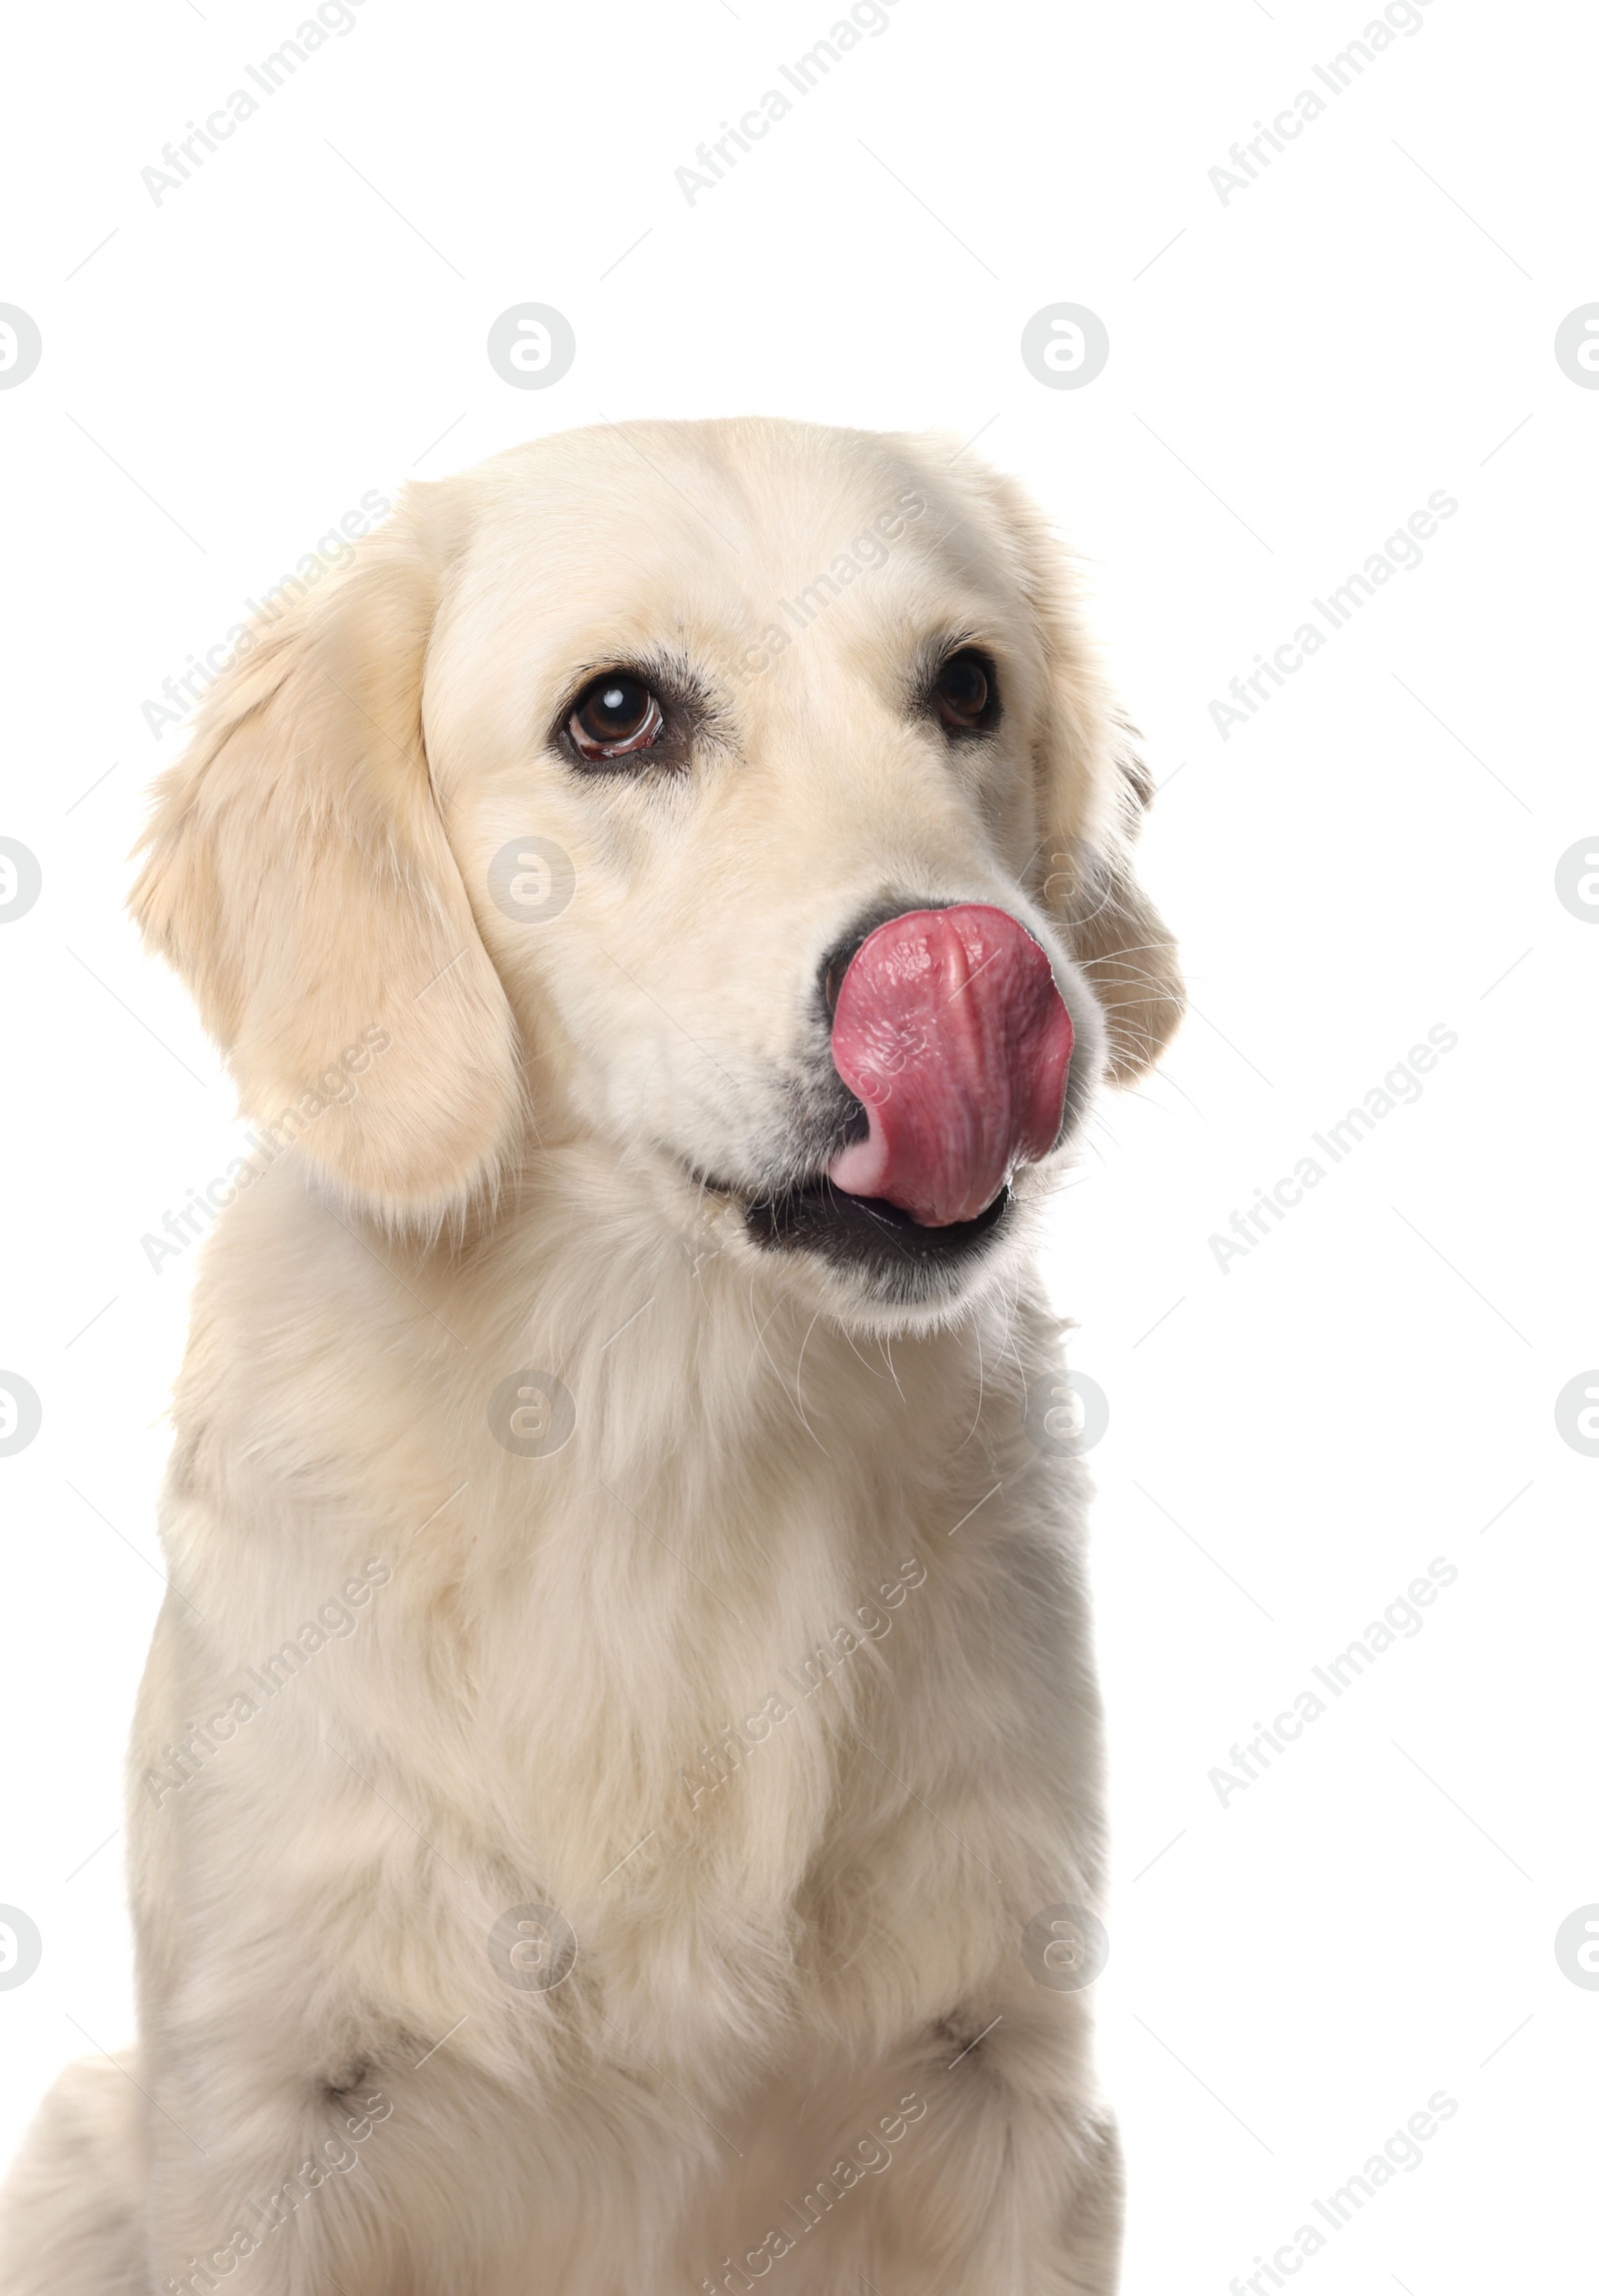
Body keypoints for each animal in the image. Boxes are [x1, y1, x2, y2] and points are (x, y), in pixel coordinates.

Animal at [0, 418, 1174, 2296]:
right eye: (615, 715)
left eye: (968, 687)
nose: (984, 979)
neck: (661, 1418)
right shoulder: (263, 2102)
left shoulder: (1009, 2074)